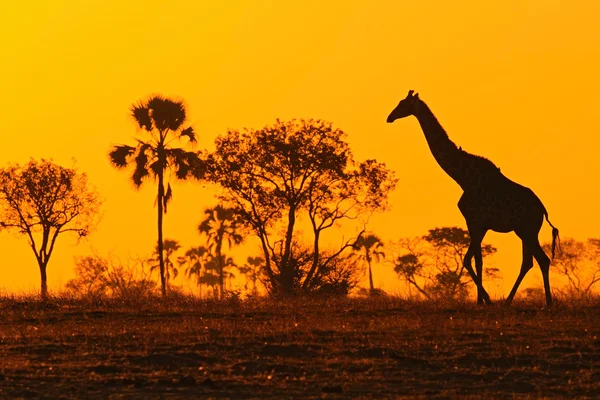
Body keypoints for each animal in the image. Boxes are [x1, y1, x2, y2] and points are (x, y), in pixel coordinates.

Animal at [386, 89, 560, 304]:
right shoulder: (480, 224)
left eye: (402, 103)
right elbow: (474, 260)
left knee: (542, 259)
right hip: (525, 231)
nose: (389, 117)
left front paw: (485, 300)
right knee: (528, 262)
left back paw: (547, 302)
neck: (462, 176)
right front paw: (482, 300)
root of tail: (542, 209)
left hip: (526, 230)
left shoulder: (474, 220)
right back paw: (509, 301)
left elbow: (472, 260)